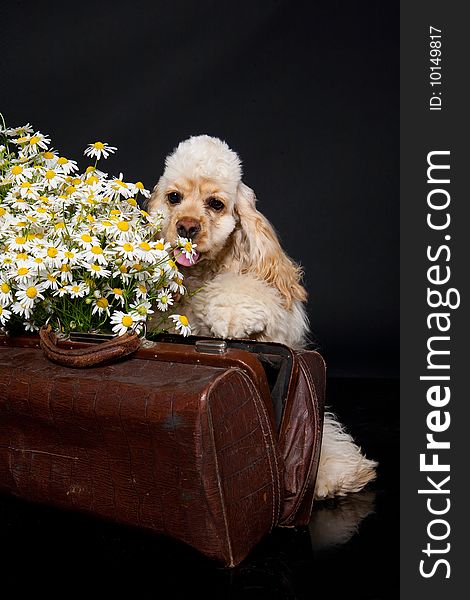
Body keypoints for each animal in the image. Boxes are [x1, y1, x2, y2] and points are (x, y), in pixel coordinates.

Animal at [149, 136, 376, 502]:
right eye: (173, 198)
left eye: (216, 204)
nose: (186, 227)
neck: (200, 276)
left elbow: (245, 291)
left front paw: (232, 314)